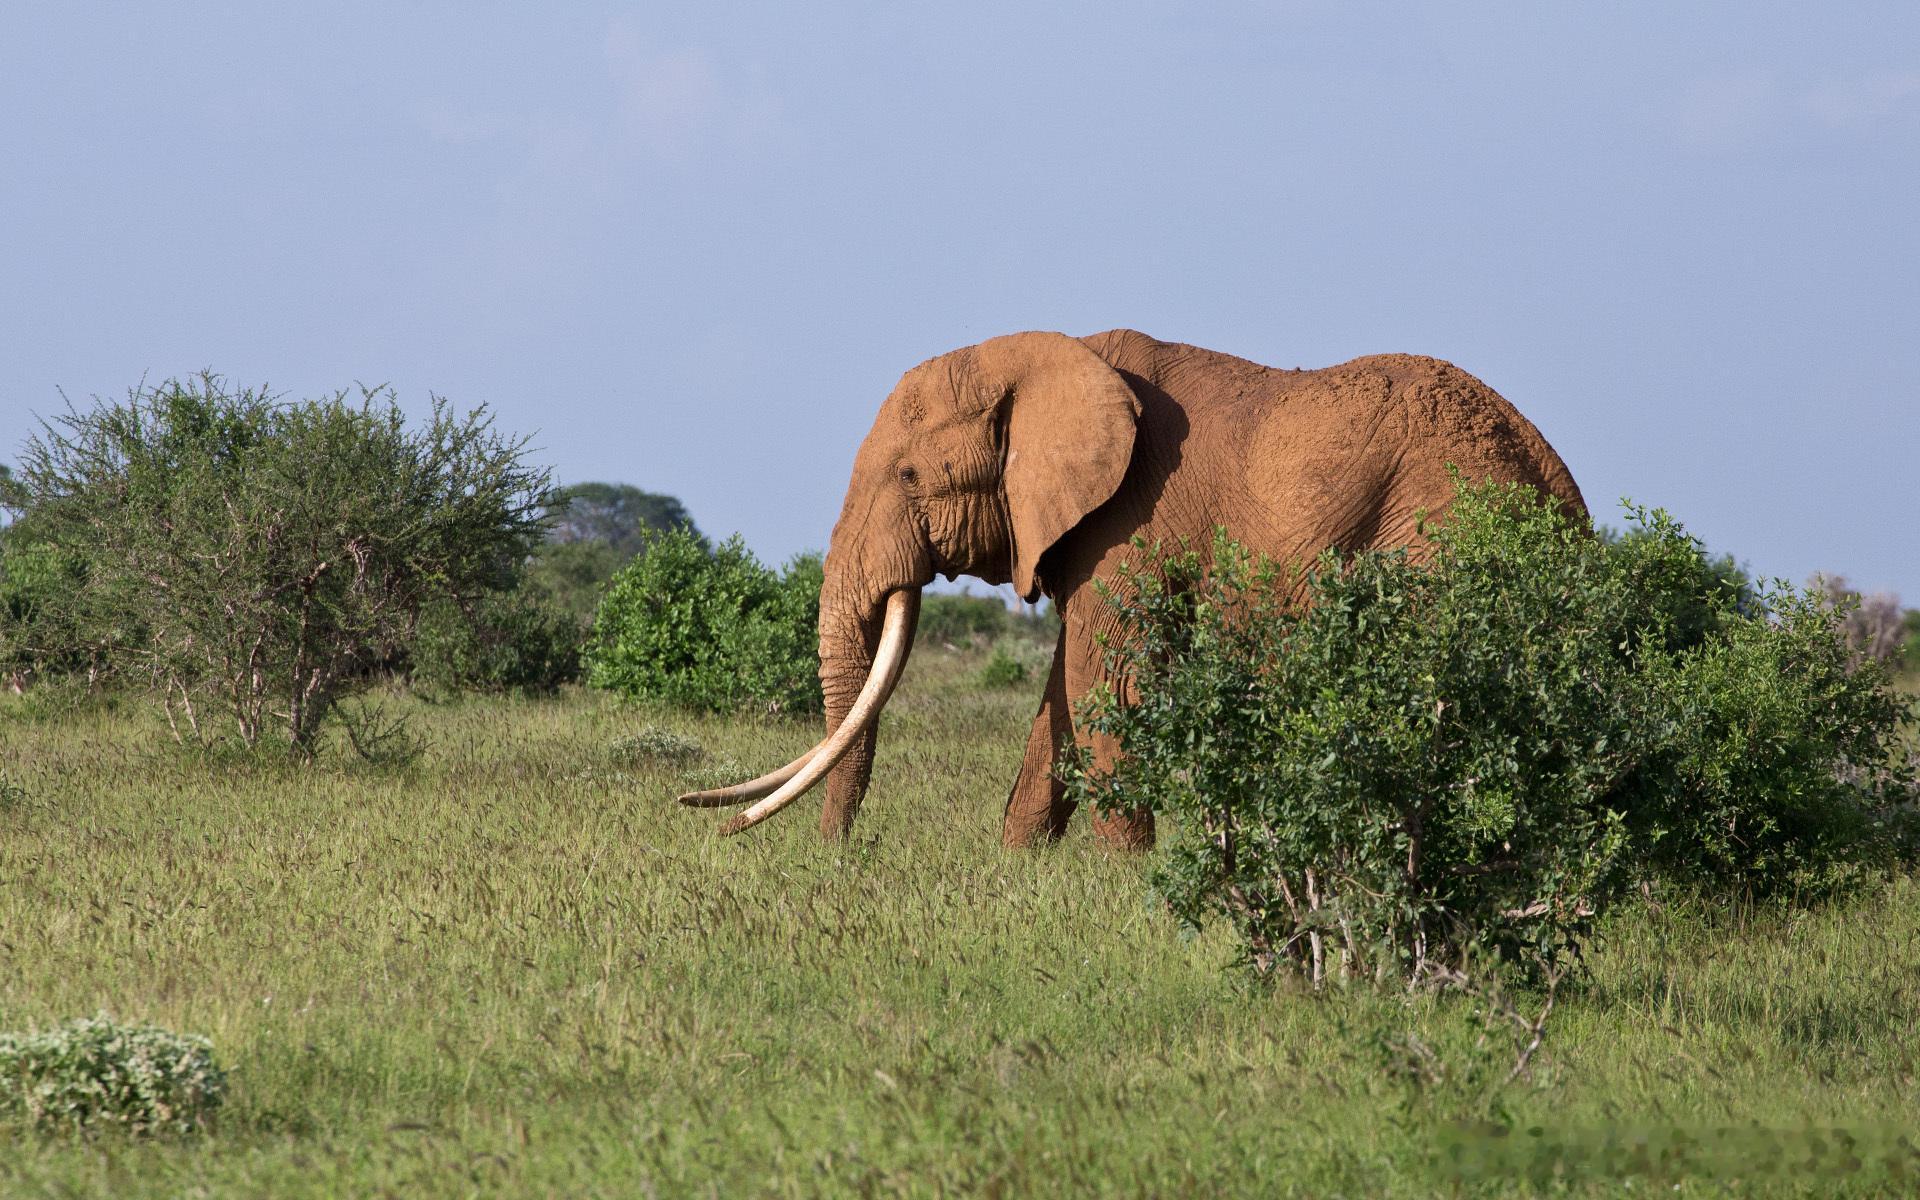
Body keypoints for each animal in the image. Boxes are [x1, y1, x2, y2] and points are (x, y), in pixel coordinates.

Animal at [682, 328, 1586, 849]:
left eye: (910, 477)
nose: (832, 858)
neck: (1051, 354)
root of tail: (1557, 485)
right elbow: (1060, 697)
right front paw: (1021, 871)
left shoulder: (1131, 520)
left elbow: (1104, 686)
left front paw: (1125, 880)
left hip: (1439, 545)